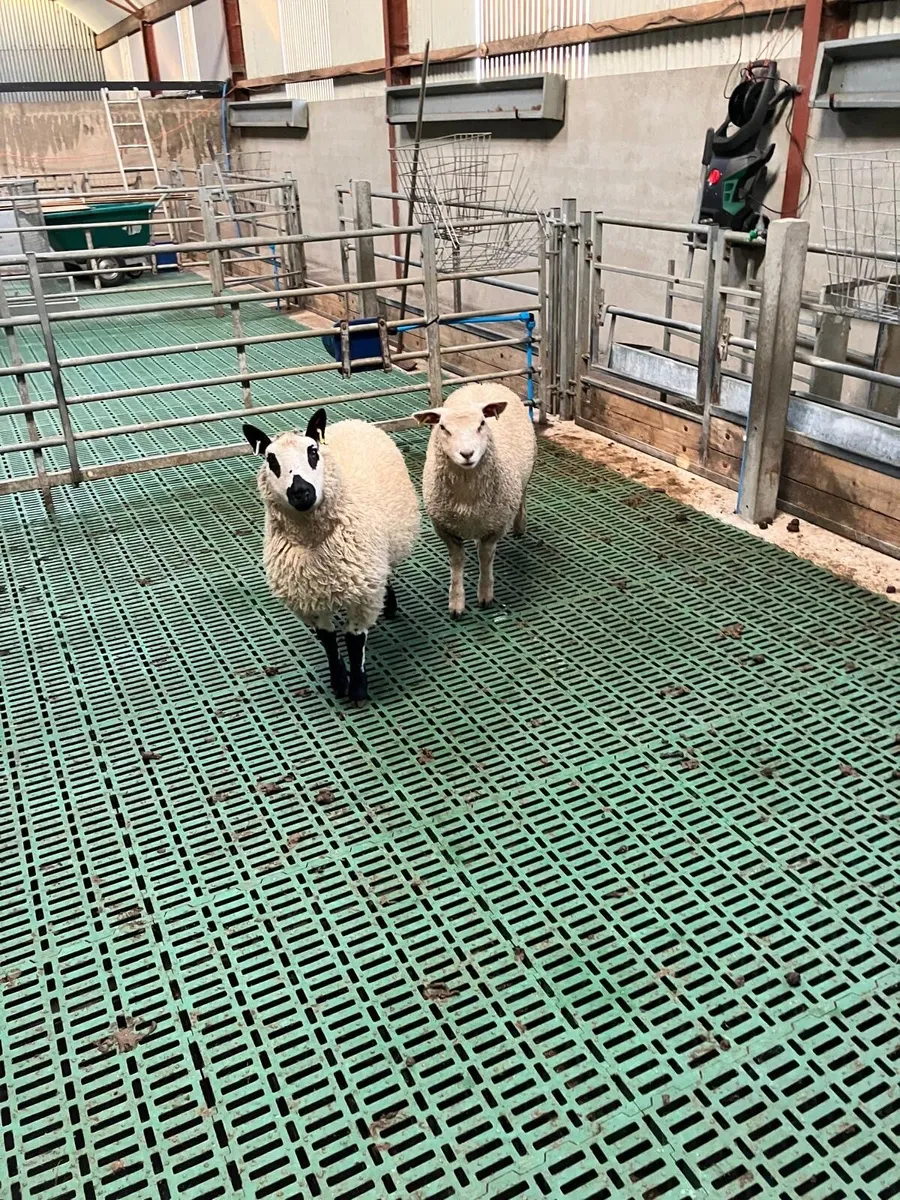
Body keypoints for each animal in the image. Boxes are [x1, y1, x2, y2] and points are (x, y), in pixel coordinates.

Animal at [243, 408, 420, 704]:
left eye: (312, 452)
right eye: (271, 460)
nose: (301, 492)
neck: (314, 544)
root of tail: (354, 422)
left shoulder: (363, 593)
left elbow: (354, 641)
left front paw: (358, 690)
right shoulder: (307, 598)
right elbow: (328, 639)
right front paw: (338, 682)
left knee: (386, 572)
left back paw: (390, 604)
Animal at [414, 382, 536, 616]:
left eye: (481, 424)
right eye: (443, 427)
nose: (467, 453)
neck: (467, 499)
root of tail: (482, 383)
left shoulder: (494, 526)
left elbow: (485, 557)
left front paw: (485, 594)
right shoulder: (445, 528)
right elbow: (457, 562)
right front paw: (456, 603)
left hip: (527, 468)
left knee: (523, 495)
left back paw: (520, 525)